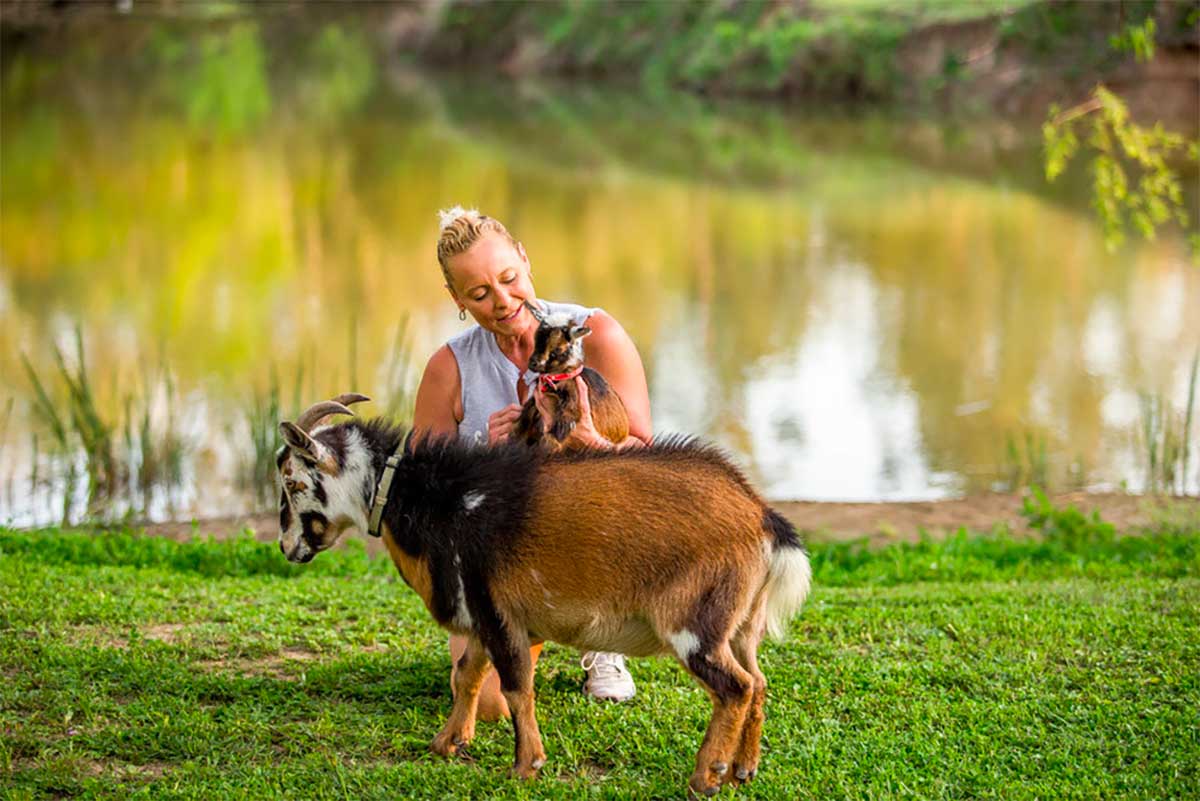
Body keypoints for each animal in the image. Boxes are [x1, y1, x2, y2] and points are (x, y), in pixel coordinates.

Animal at [276, 393, 811, 796]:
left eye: (293, 482)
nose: (287, 548)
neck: (439, 499)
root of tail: (761, 517)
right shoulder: (480, 611)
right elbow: (468, 675)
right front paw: (448, 742)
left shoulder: (497, 610)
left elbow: (516, 686)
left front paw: (524, 766)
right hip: (740, 624)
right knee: (758, 681)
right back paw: (743, 770)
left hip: (694, 624)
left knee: (734, 688)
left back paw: (706, 777)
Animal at [508, 302, 628, 448]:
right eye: (535, 342)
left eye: (557, 350)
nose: (533, 363)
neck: (557, 378)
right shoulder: (535, 404)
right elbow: (525, 415)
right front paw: (514, 436)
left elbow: (554, 436)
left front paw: (560, 431)